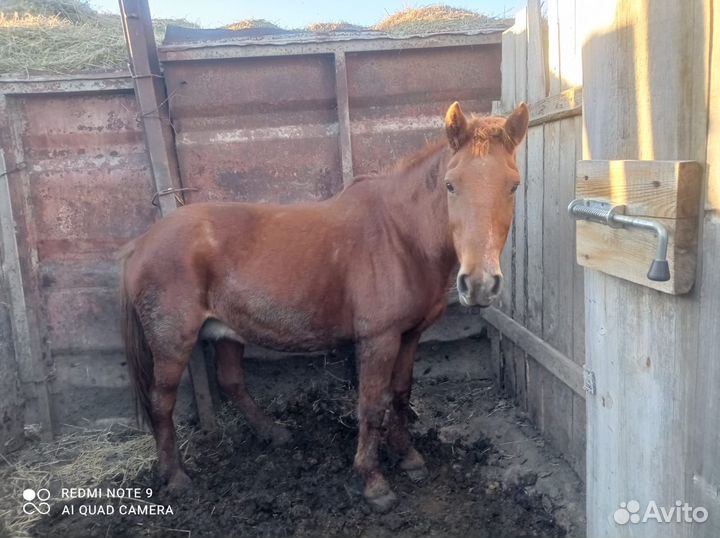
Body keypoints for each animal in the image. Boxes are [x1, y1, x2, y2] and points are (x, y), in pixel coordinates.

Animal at [120, 100, 529, 513]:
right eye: (450, 185)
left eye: (513, 185)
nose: (479, 283)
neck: (400, 236)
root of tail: (142, 243)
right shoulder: (379, 339)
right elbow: (371, 404)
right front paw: (374, 482)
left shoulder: (409, 335)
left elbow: (401, 393)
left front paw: (408, 457)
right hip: (172, 344)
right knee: (161, 402)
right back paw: (176, 477)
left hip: (227, 333)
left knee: (231, 382)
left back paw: (274, 434)